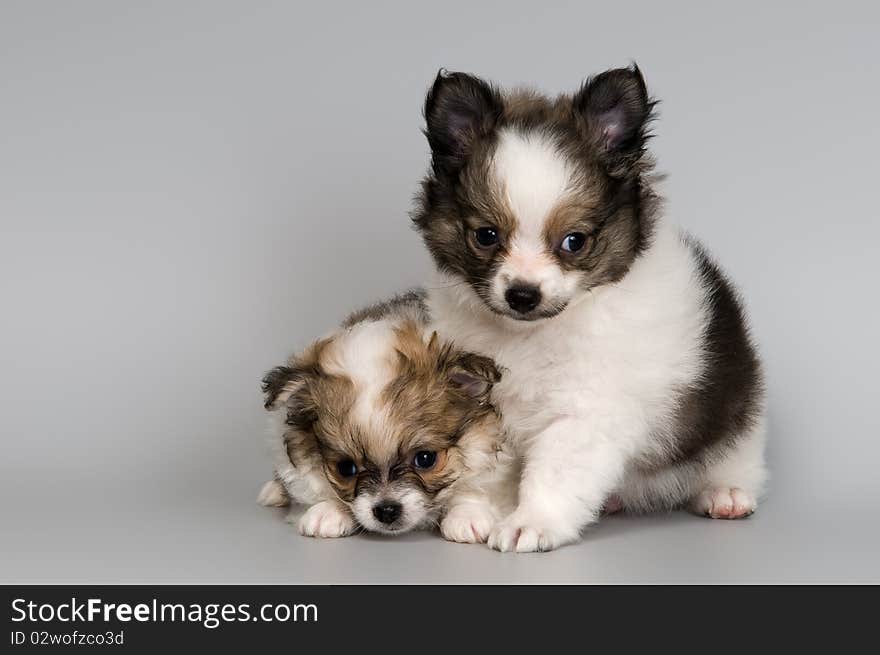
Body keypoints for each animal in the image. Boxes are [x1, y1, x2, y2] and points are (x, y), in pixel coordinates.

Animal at [258, 294, 512, 544]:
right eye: (346, 468)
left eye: (425, 459)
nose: (387, 510)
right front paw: (327, 511)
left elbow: (476, 483)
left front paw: (467, 515)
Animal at [412, 66, 764, 552]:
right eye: (486, 236)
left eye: (574, 241)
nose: (523, 294)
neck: (530, 336)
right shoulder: (484, 404)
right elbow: (486, 466)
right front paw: (473, 512)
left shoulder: (587, 411)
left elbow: (554, 472)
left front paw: (533, 521)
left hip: (739, 409)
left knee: (736, 451)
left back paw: (725, 492)